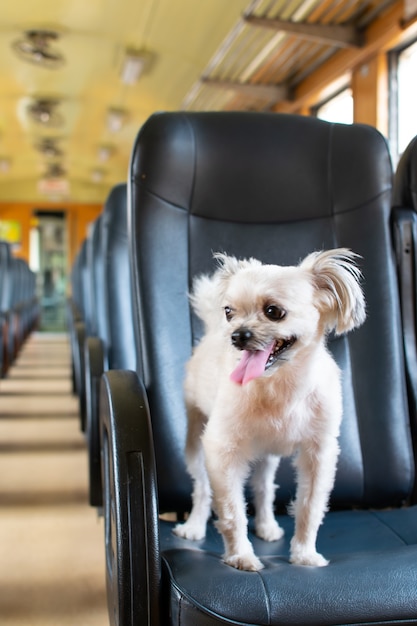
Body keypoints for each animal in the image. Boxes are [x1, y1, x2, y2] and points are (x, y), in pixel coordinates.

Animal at [174, 249, 366, 572]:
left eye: (274, 311)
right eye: (229, 311)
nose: (237, 335)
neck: (278, 386)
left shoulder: (319, 454)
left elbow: (310, 507)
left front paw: (304, 554)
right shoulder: (221, 450)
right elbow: (231, 511)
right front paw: (240, 556)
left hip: (267, 455)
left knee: (263, 487)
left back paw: (266, 525)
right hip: (195, 441)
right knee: (202, 488)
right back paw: (194, 526)